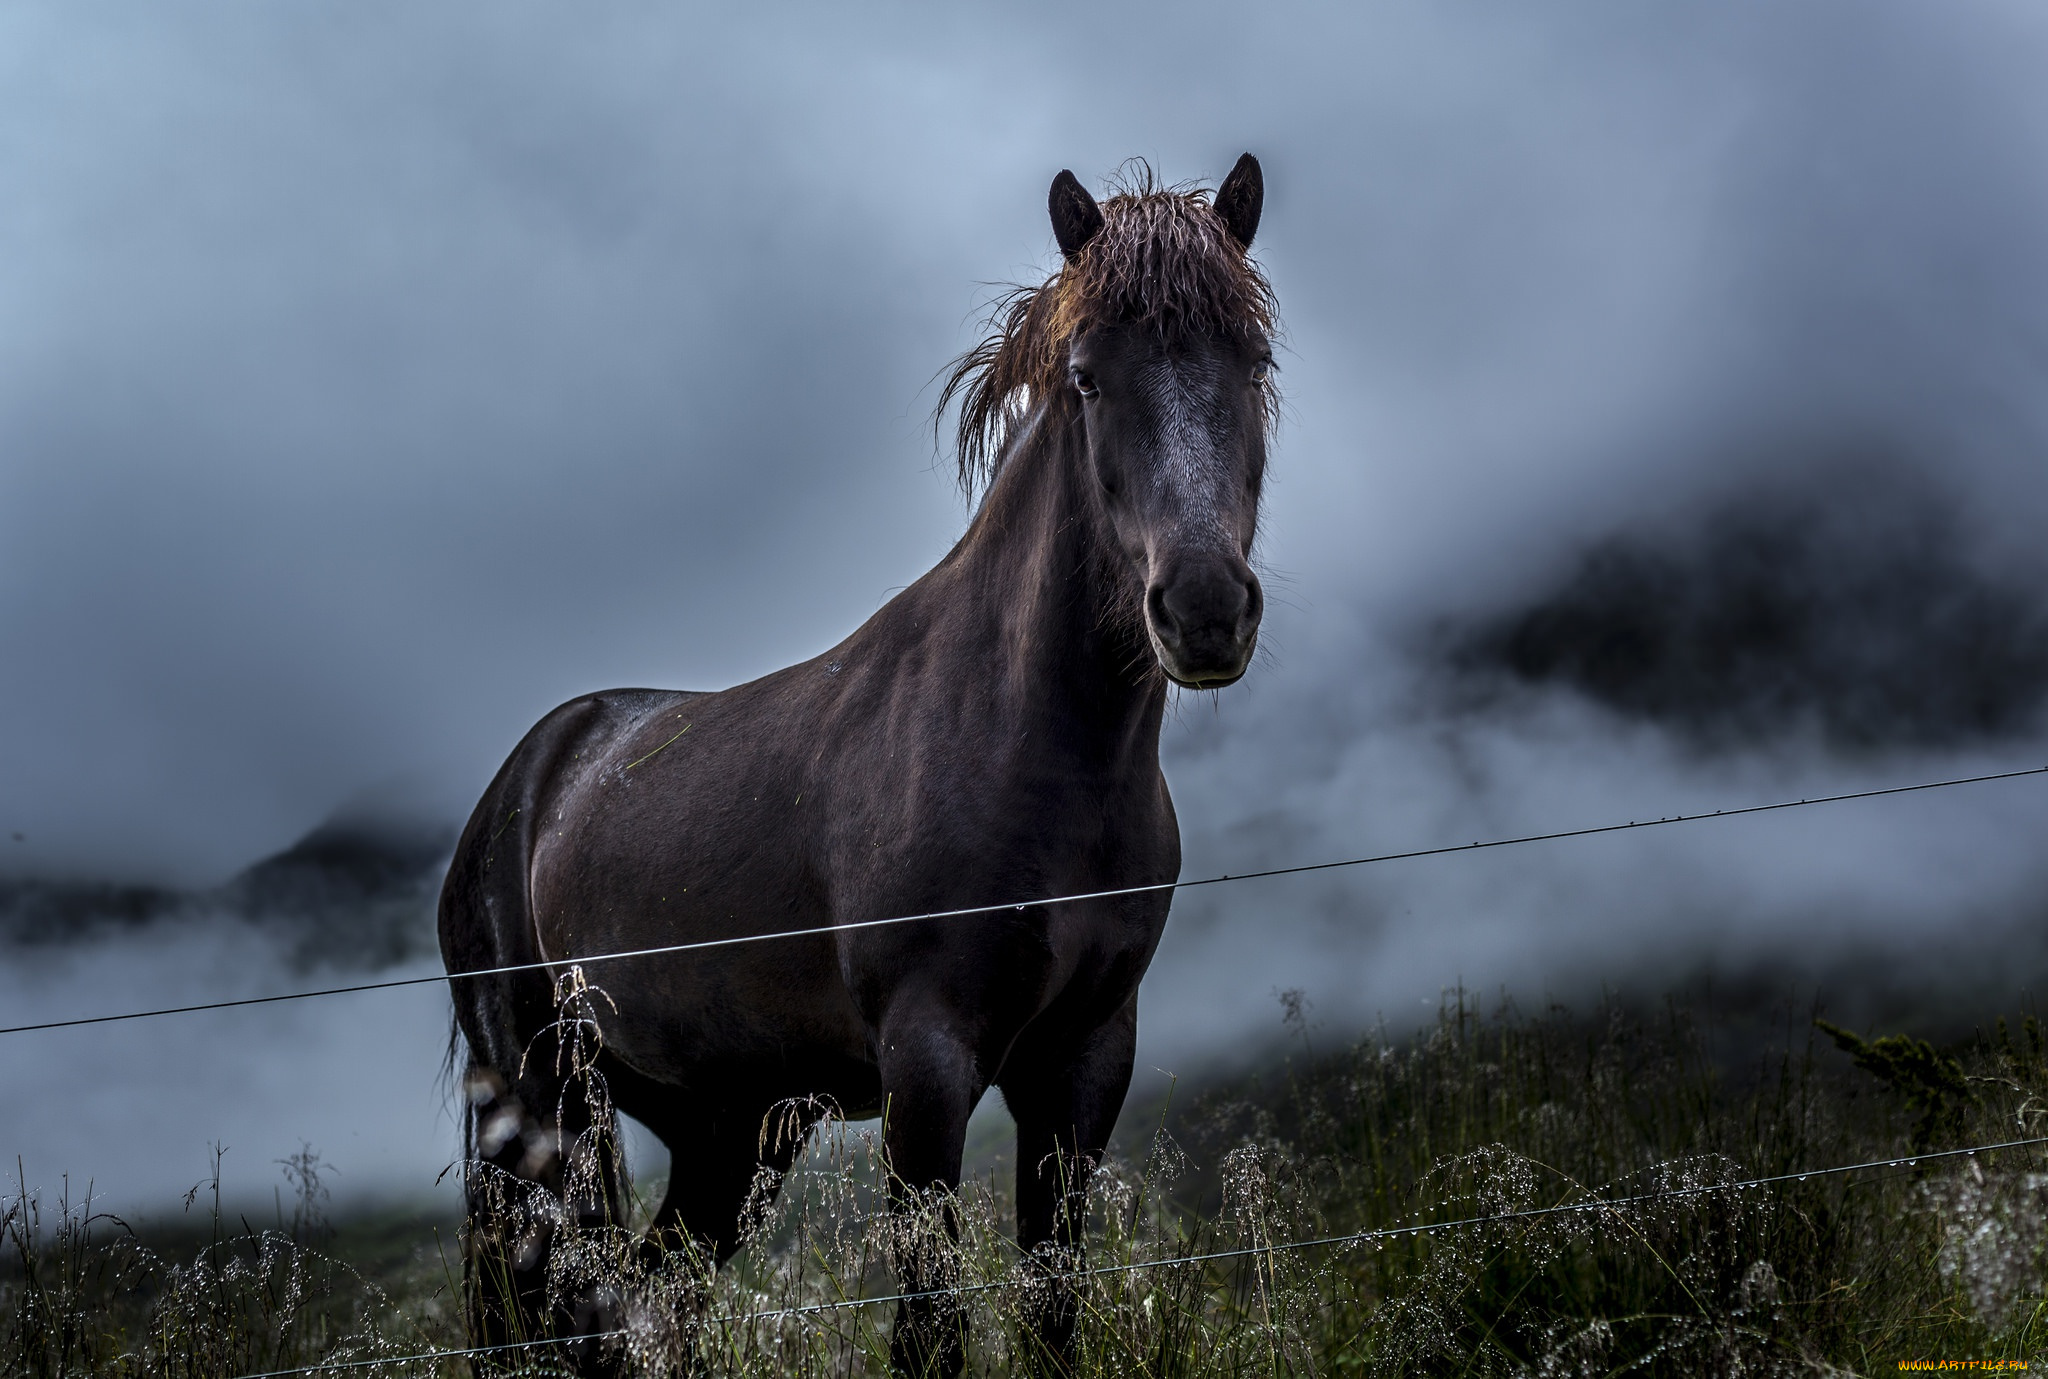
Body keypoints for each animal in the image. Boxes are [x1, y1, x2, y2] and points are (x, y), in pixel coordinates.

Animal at [444, 155, 1277, 1368]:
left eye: (1253, 361)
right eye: (1084, 377)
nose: (1206, 607)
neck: (1031, 755)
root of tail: (524, 779)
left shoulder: (1083, 1060)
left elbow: (1053, 1306)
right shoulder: (925, 1065)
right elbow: (929, 1327)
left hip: (728, 1128)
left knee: (645, 1302)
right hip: (540, 1103)